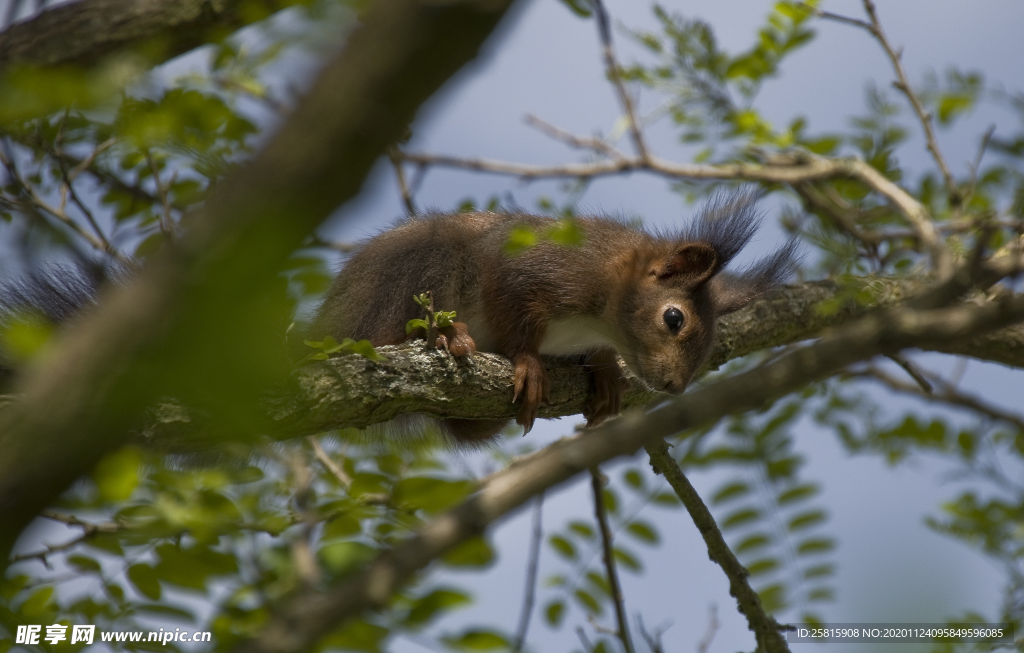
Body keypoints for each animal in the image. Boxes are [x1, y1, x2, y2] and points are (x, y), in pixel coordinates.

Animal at [315, 192, 794, 442]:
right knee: (389, 334)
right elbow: (511, 314)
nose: (674, 387)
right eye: (674, 319)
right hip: (419, 270)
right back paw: (447, 336)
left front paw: (604, 370)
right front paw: (528, 362)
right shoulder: (534, 269)